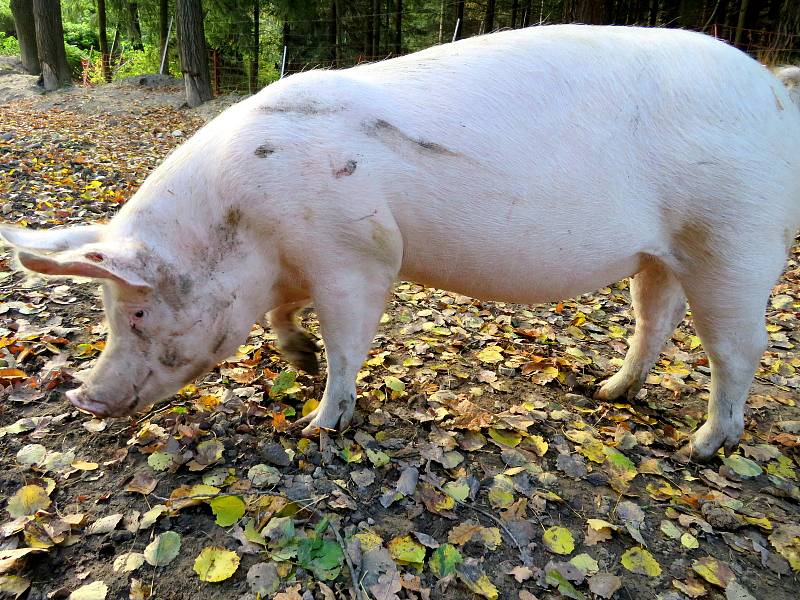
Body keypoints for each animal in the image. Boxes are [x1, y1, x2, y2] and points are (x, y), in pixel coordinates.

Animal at [1, 25, 800, 462]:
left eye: (136, 313)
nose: (81, 398)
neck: (249, 228)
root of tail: (774, 90)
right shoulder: (293, 268)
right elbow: (284, 318)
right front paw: (297, 357)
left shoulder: (356, 255)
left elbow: (349, 343)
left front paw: (318, 424)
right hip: (661, 252)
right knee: (654, 319)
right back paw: (606, 391)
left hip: (733, 239)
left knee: (739, 351)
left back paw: (699, 448)